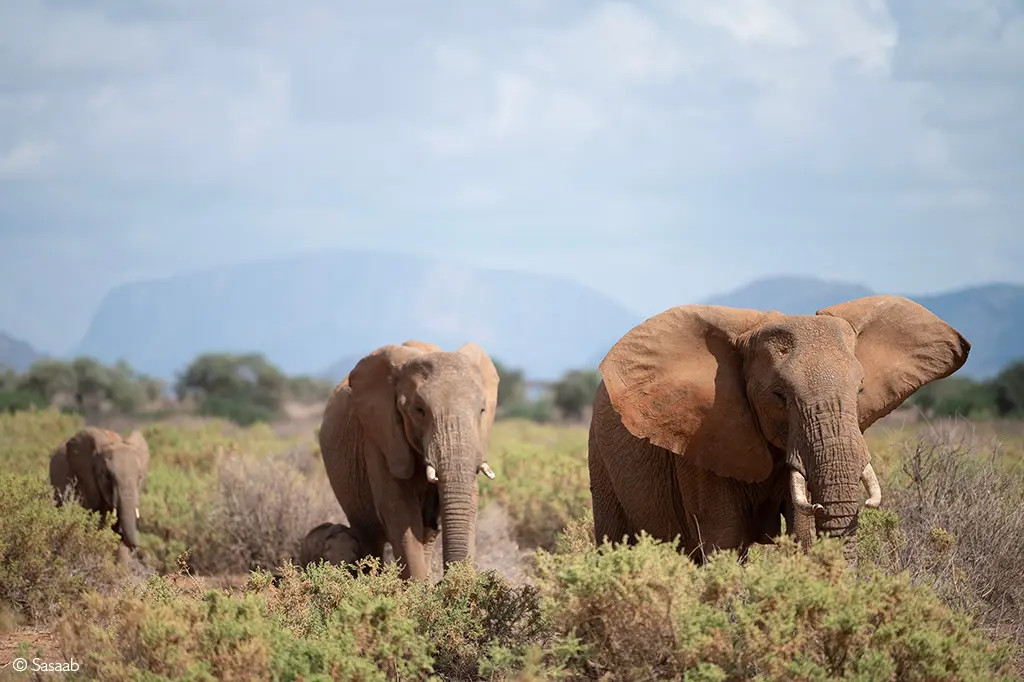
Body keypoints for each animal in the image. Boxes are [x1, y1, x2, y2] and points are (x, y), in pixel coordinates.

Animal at [318, 340, 499, 581]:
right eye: (419, 410)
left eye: (482, 410)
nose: (444, 582)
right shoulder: (380, 437)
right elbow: (400, 511)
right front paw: (420, 589)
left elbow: (467, 505)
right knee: (369, 537)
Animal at [588, 295, 970, 564]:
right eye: (779, 395)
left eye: (860, 389)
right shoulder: (702, 438)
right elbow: (724, 543)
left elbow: (802, 532)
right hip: (599, 455)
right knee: (614, 540)